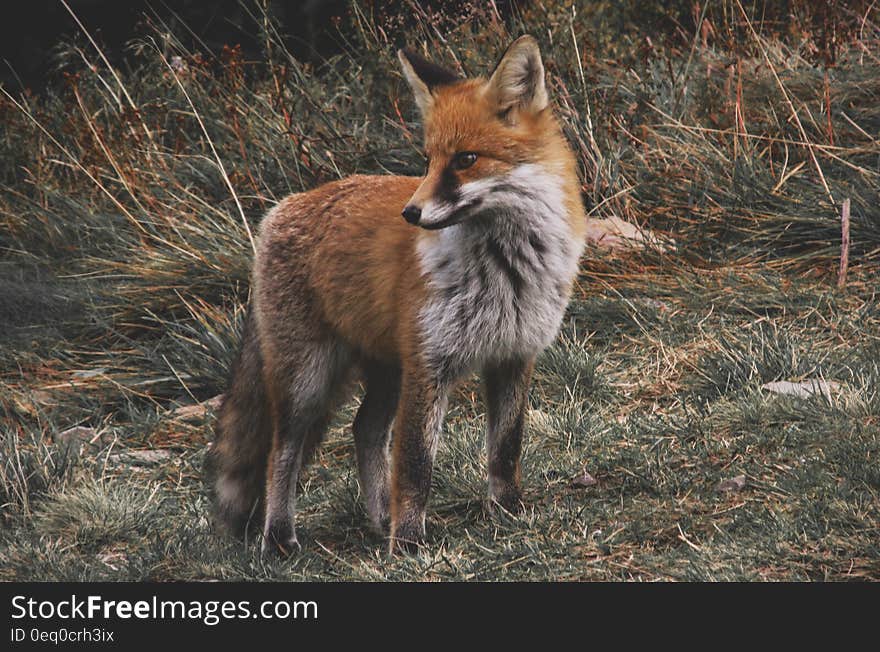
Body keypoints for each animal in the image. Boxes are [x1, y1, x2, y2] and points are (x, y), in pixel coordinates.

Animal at [208, 37, 584, 556]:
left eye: (465, 159)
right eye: (427, 160)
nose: (411, 213)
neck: (505, 269)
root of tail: (281, 208)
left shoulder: (514, 355)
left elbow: (505, 449)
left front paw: (508, 512)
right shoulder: (429, 364)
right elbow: (415, 464)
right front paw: (406, 544)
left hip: (387, 370)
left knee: (364, 430)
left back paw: (378, 518)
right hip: (308, 380)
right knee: (281, 451)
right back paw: (281, 536)